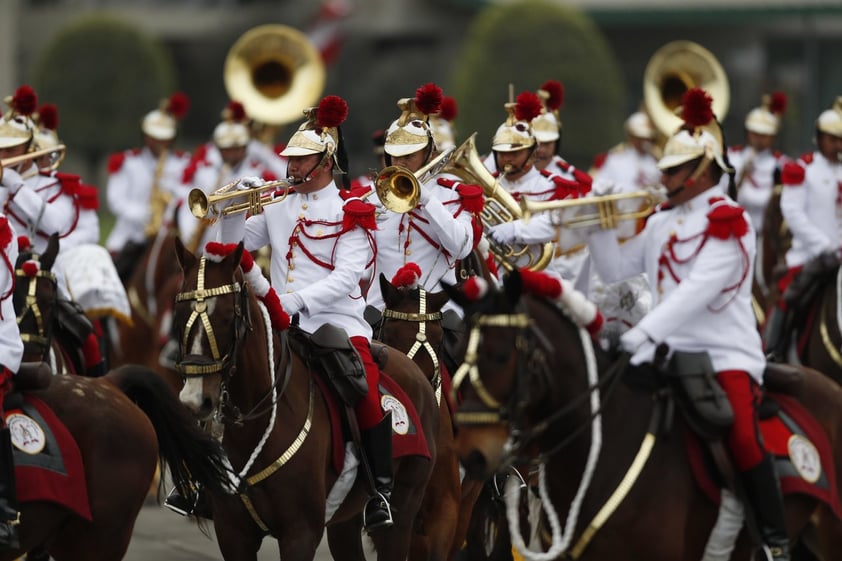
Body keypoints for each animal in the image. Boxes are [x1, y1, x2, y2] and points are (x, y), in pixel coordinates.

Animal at [167, 238, 436, 560]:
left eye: (227, 317)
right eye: (179, 315)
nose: (195, 400)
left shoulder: (300, 534)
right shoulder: (232, 533)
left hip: (403, 511)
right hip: (344, 522)